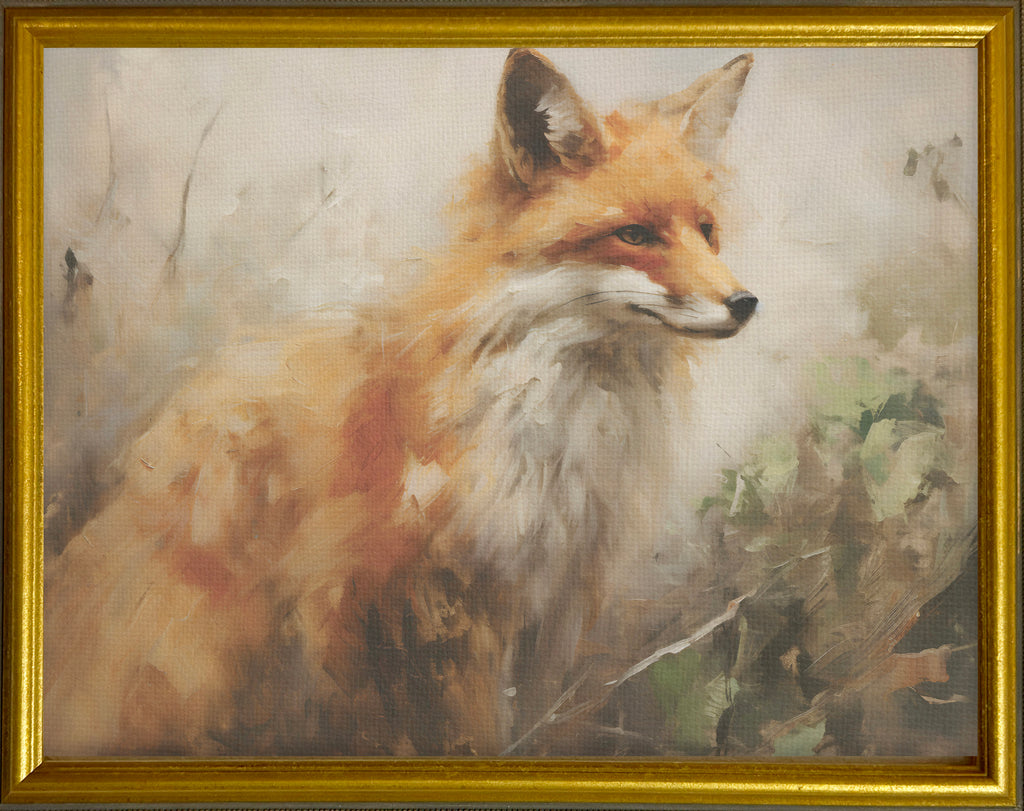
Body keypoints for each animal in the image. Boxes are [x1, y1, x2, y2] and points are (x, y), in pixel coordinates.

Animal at [44, 49, 757, 757]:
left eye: (706, 231)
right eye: (634, 235)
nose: (745, 303)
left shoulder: (554, 598)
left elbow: (534, 724)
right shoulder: (421, 602)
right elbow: (457, 731)